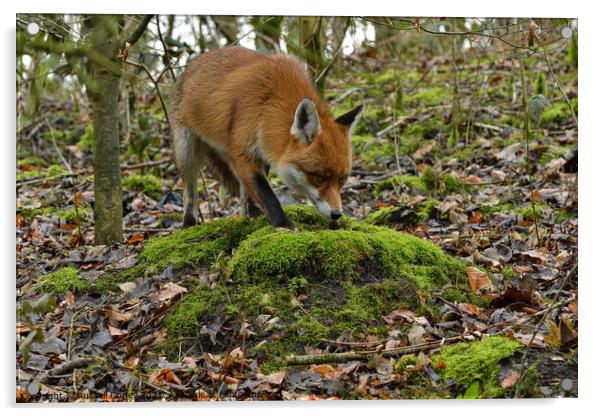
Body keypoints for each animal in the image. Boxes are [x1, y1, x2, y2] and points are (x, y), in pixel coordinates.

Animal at [169, 47, 360, 229]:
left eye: (342, 180)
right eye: (319, 178)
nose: (337, 214)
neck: (269, 104)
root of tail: (194, 62)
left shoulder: (261, 151)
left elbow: (257, 190)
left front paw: (259, 216)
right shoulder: (244, 153)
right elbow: (267, 195)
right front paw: (283, 224)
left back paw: (249, 216)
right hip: (186, 150)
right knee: (190, 193)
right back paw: (188, 223)